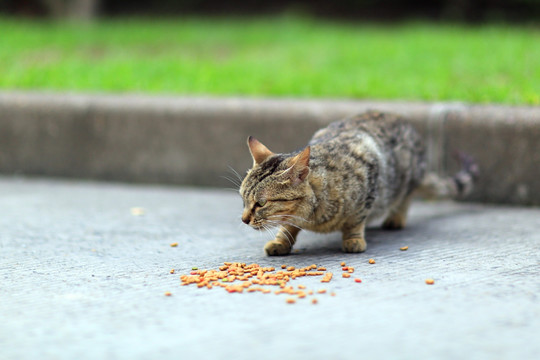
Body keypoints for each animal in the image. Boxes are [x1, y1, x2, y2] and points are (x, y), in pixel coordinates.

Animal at [238, 111, 478, 255]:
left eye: (261, 203)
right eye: (243, 199)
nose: (243, 219)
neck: (312, 217)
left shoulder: (369, 177)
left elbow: (356, 219)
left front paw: (353, 239)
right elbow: (287, 225)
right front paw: (281, 241)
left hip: (405, 179)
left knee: (405, 199)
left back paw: (395, 218)